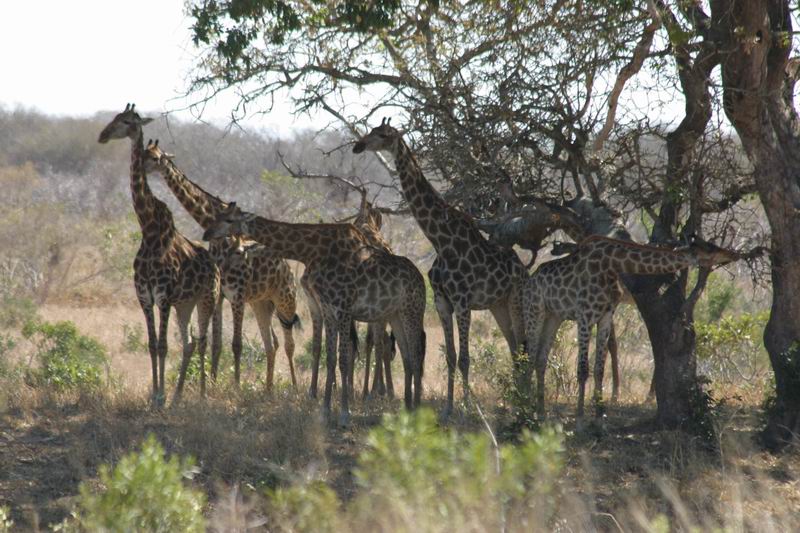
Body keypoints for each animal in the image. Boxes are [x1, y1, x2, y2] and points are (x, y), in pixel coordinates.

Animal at [97, 104, 221, 405]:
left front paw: (161, 397)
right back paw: (178, 396)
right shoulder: (144, 296)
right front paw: (155, 394)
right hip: (185, 304)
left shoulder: (163, 296)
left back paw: (201, 394)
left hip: (207, 297)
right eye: (114, 117)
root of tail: (216, 266)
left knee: (202, 341)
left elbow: (164, 346)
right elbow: (152, 345)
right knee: (189, 343)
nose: (102, 135)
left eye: (127, 121)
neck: (150, 230)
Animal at [142, 140, 300, 390]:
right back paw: (268, 390)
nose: (141, 165)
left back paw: (294, 387)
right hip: (261, 302)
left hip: (285, 299)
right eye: (145, 153)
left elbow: (236, 344)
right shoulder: (220, 295)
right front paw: (213, 385)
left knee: (289, 342)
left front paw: (235, 387)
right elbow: (216, 344)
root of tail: (287, 267)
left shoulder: (237, 294)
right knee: (272, 342)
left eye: (156, 158)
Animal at [203, 202, 427, 424]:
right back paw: (407, 408)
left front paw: (344, 413)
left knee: (415, 351)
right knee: (406, 355)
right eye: (218, 216)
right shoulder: (327, 309)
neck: (313, 252)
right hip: (395, 315)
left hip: (412, 311)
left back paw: (415, 409)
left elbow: (344, 358)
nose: (206, 234)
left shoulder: (343, 308)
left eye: (229, 219)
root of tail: (421, 280)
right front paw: (326, 410)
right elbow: (330, 357)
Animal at [353, 119, 527, 415]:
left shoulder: (463, 301)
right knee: (514, 346)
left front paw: (467, 407)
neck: (441, 241)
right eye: (371, 131)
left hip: (514, 298)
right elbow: (451, 356)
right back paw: (516, 399)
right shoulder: (443, 302)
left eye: (383, 134)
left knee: (521, 347)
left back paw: (522, 400)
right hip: (497, 305)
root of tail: (524, 270)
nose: (358, 146)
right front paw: (448, 407)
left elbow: (465, 358)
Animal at [522, 235, 740, 422]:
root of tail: (531, 279)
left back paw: (540, 412)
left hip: (554, 316)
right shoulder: (585, 315)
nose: (734, 254)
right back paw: (525, 409)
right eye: (709, 248)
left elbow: (599, 368)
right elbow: (583, 369)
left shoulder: (606, 315)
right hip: (535, 311)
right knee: (529, 358)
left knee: (540, 359)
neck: (612, 265)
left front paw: (599, 416)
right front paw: (581, 417)